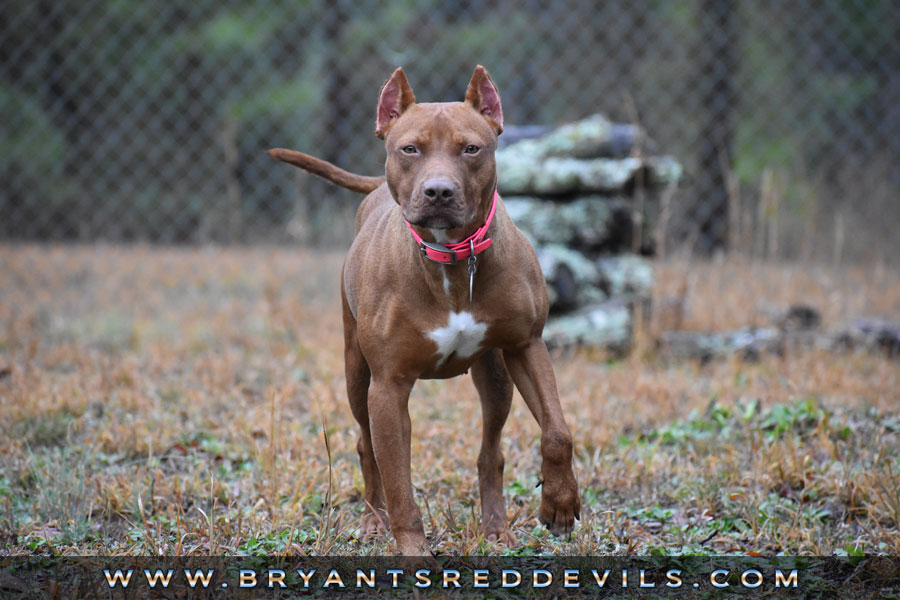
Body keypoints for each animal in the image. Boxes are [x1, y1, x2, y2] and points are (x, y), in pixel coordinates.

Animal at [268, 63, 580, 556]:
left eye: (471, 148)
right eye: (409, 149)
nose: (438, 191)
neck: (450, 258)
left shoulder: (526, 346)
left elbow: (557, 432)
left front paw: (560, 503)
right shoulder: (388, 387)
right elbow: (398, 479)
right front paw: (413, 550)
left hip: (495, 377)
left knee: (491, 450)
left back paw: (496, 527)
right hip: (356, 374)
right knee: (367, 449)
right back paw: (373, 521)